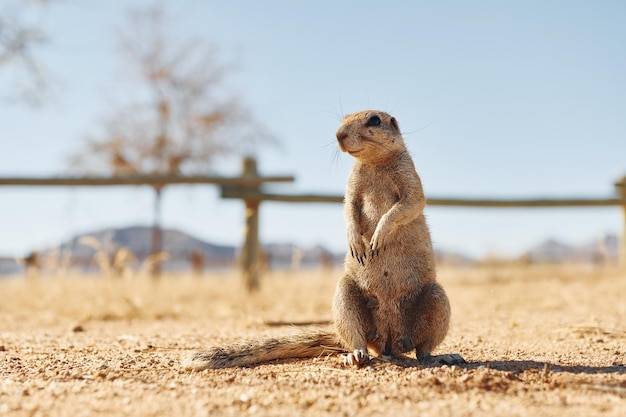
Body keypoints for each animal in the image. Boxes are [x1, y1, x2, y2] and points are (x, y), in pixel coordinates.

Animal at [183, 109, 460, 368]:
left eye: (374, 120)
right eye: (343, 118)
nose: (339, 135)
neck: (374, 162)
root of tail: (389, 344)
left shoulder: (409, 176)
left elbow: (410, 204)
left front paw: (379, 234)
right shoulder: (352, 187)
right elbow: (348, 209)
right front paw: (355, 241)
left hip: (437, 299)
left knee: (422, 351)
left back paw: (443, 356)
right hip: (345, 296)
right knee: (360, 342)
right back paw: (355, 356)